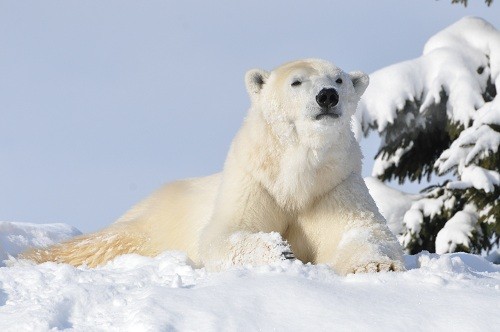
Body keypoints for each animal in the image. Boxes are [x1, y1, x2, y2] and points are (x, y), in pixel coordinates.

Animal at [23, 58, 406, 274]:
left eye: (339, 79)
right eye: (296, 81)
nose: (327, 96)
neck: (297, 176)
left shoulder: (333, 184)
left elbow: (362, 230)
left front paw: (376, 264)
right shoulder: (255, 182)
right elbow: (223, 234)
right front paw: (281, 251)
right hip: (155, 221)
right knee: (110, 241)